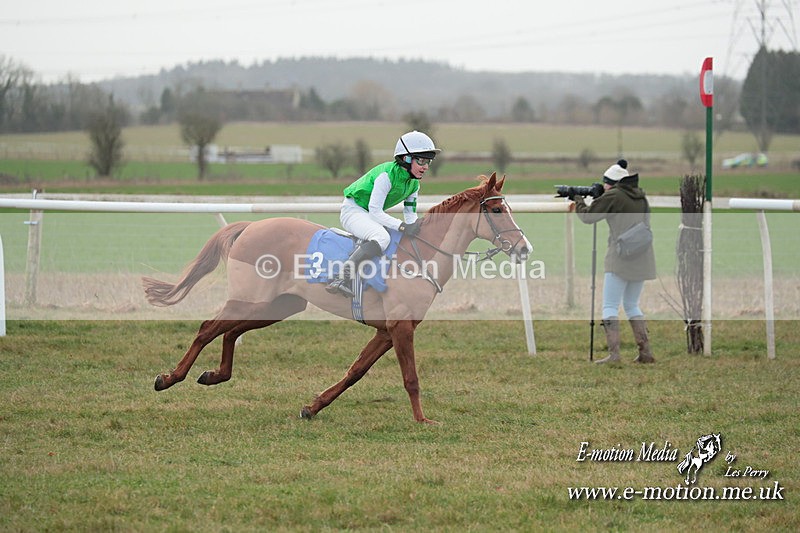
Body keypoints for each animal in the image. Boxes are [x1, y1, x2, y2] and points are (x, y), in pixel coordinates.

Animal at [142, 173, 531, 423]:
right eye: (497, 210)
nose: (524, 248)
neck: (421, 255)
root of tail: (250, 226)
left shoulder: (385, 331)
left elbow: (355, 371)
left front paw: (313, 407)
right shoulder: (401, 327)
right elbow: (411, 378)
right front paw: (423, 421)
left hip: (279, 305)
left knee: (231, 331)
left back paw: (214, 375)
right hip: (251, 299)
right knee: (209, 327)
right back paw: (170, 378)